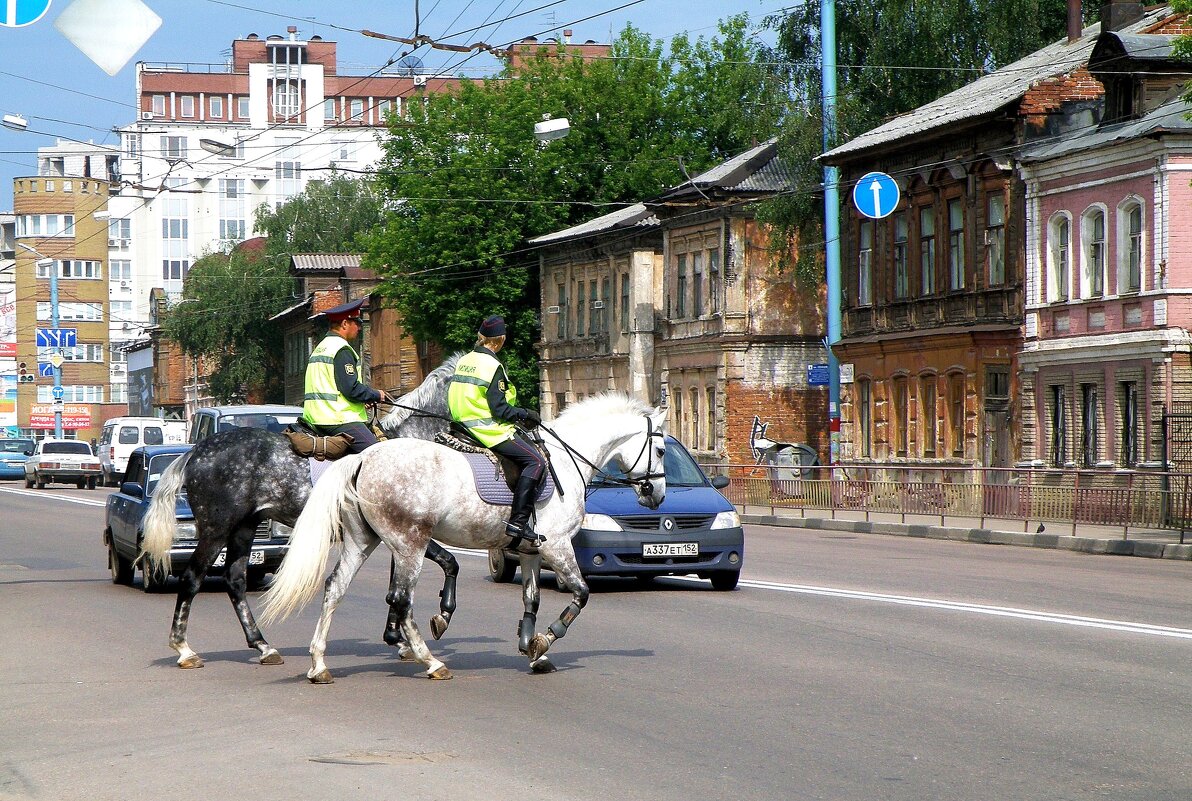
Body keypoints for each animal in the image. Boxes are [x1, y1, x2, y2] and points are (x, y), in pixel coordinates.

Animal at [263, 393, 672, 681]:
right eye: (662, 449)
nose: (657, 495)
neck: (565, 461)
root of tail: (363, 458)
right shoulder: (557, 546)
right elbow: (581, 594)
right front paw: (544, 640)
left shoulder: (530, 551)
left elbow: (532, 598)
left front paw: (532, 649)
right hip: (409, 545)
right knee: (401, 600)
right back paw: (430, 661)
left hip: (366, 542)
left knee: (336, 588)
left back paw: (319, 664)